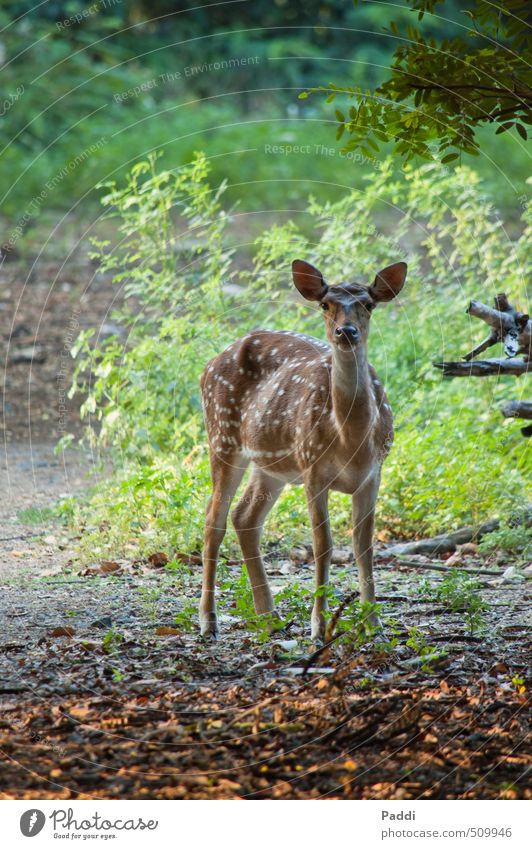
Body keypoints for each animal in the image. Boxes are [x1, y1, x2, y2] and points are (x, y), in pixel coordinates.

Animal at [200, 255, 408, 640]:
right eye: (325, 304)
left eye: (368, 304)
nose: (346, 332)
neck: (351, 440)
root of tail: (209, 364)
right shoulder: (313, 469)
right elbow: (323, 546)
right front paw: (319, 626)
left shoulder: (374, 474)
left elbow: (364, 547)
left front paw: (374, 625)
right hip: (222, 437)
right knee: (213, 520)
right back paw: (209, 622)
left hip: (271, 465)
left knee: (244, 517)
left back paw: (269, 617)